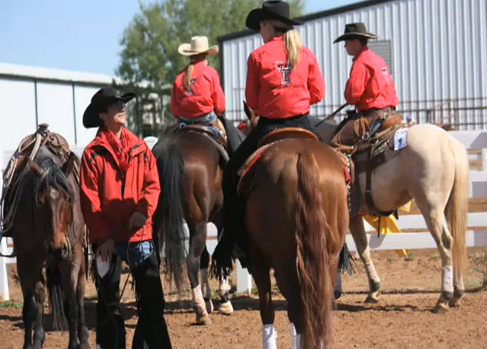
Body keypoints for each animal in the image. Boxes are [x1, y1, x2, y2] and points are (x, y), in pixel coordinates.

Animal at [1, 143, 88, 346]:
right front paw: (30, 344)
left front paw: (74, 344)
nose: (57, 247)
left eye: (68, 198)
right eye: (39, 201)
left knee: (79, 295)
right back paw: (39, 337)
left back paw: (84, 337)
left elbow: (71, 305)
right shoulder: (25, 259)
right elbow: (30, 306)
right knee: (40, 295)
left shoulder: (71, 258)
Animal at [152, 125, 236, 324]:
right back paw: (200, 311)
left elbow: (205, 257)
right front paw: (223, 301)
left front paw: (208, 299)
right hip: (198, 224)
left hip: (158, 221)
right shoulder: (220, 221)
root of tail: (173, 150)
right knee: (191, 260)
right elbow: (220, 255)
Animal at [218, 107, 350, 346]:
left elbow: (267, 309)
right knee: (317, 307)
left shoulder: (257, 260)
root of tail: (304, 156)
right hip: (329, 255)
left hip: (283, 257)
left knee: (298, 310)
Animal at [314, 115, 470, 312]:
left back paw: (443, 298)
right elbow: (363, 249)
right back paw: (457, 293)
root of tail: (448, 141)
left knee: (446, 242)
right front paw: (373, 290)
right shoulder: (354, 217)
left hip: (431, 208)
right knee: (456, 241)